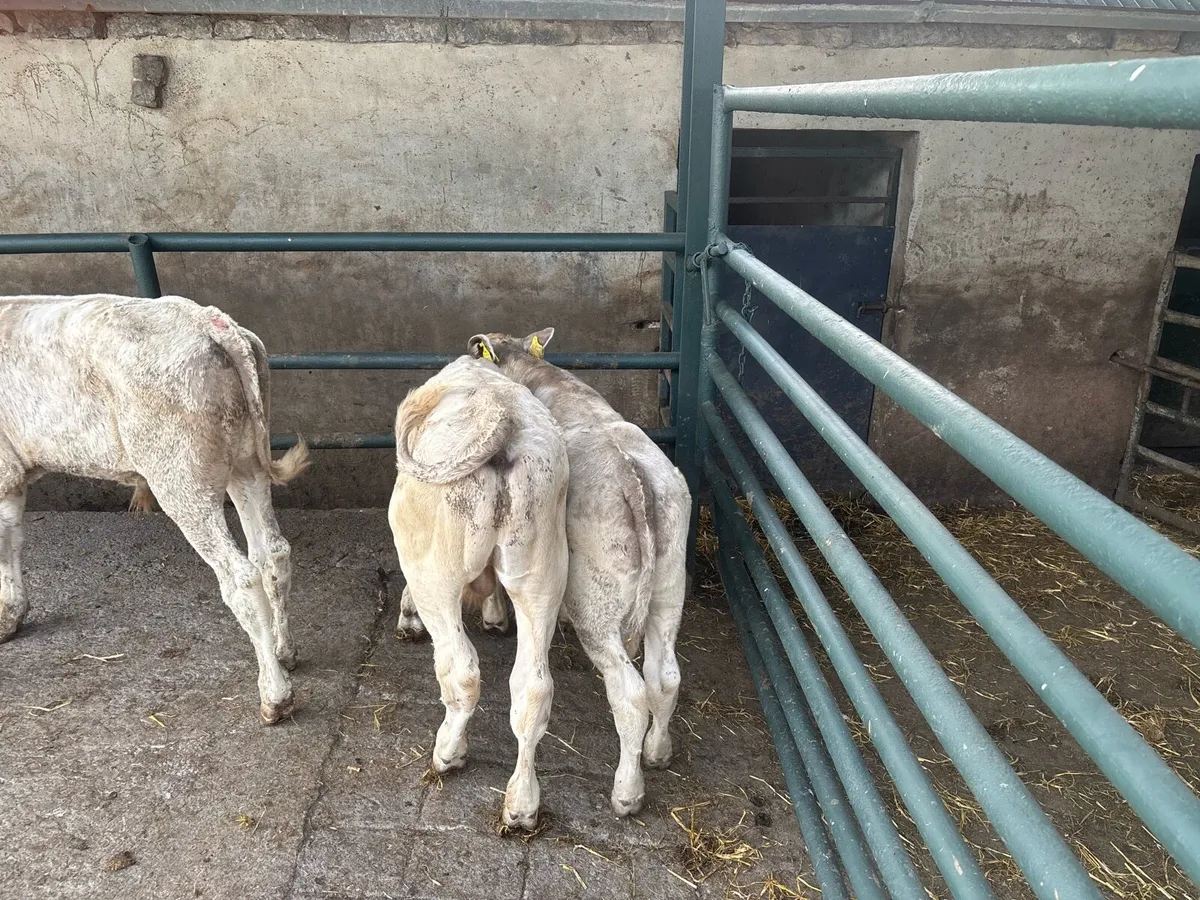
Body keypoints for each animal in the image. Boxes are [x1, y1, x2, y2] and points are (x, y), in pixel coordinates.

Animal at [0, 294, 309, 725]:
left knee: (241, 578)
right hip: (244, 460)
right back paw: (284, 653)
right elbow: (11, 536)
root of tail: (209, 321)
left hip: (179, 475)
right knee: (272, 554)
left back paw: (275, 695)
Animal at [388, 355, 569, 830]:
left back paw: (448, 753)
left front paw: (407, 616)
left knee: (462, 670)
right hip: (542, 572)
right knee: (533, 688)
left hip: (436, 572)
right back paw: (522, 804)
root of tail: (503, 419)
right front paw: (494, 614)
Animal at [406, 330, 691, 818]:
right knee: (662, 677)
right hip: (668, 588)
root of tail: (635, 480)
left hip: (592, 605)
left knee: (628, 693)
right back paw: (654, 753)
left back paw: (626, 791)